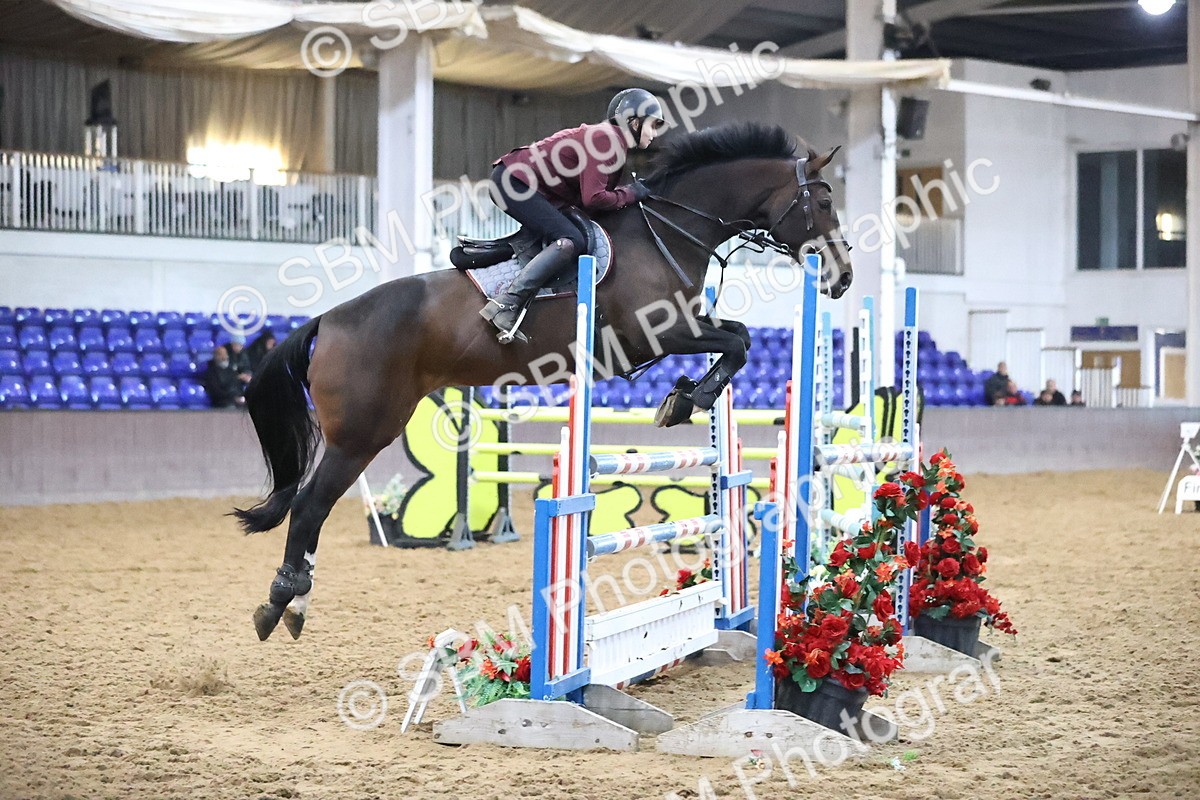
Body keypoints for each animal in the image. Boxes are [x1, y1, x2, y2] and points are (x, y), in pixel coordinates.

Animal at [235, 122, 853, 641]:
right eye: (823, 201)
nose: (843, 277)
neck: (668, 232)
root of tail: (329, 319)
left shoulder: (683, 329)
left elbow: (738, 336)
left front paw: (683, 397)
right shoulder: (659, 334)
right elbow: (738, 342)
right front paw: (687, 399)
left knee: (313, 507)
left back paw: (293, 601)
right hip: (363, 433)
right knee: (309, 506)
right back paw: (283, 602)